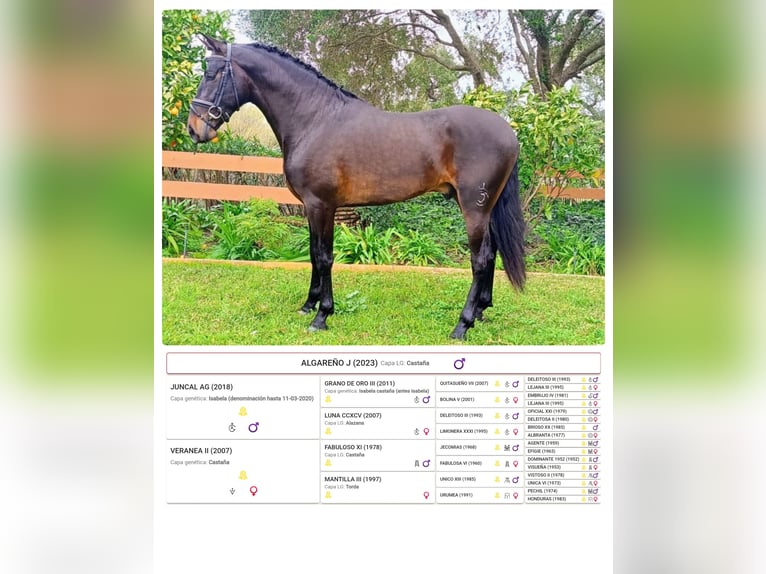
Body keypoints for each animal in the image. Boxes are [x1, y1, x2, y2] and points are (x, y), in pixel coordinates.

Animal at [187, 34, 526, 340]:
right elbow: (313, 253)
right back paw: (480, 311)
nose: (194, 128)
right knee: (491, 253)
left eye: (210, 73)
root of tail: (508, 131)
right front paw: (309, 305)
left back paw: (462, 325)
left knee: (479, 259)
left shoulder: (322, 205)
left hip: (473, 208)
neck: (315, 119)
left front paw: (322, 315)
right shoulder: (312, 207)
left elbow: (325, 257)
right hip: (484, 208)